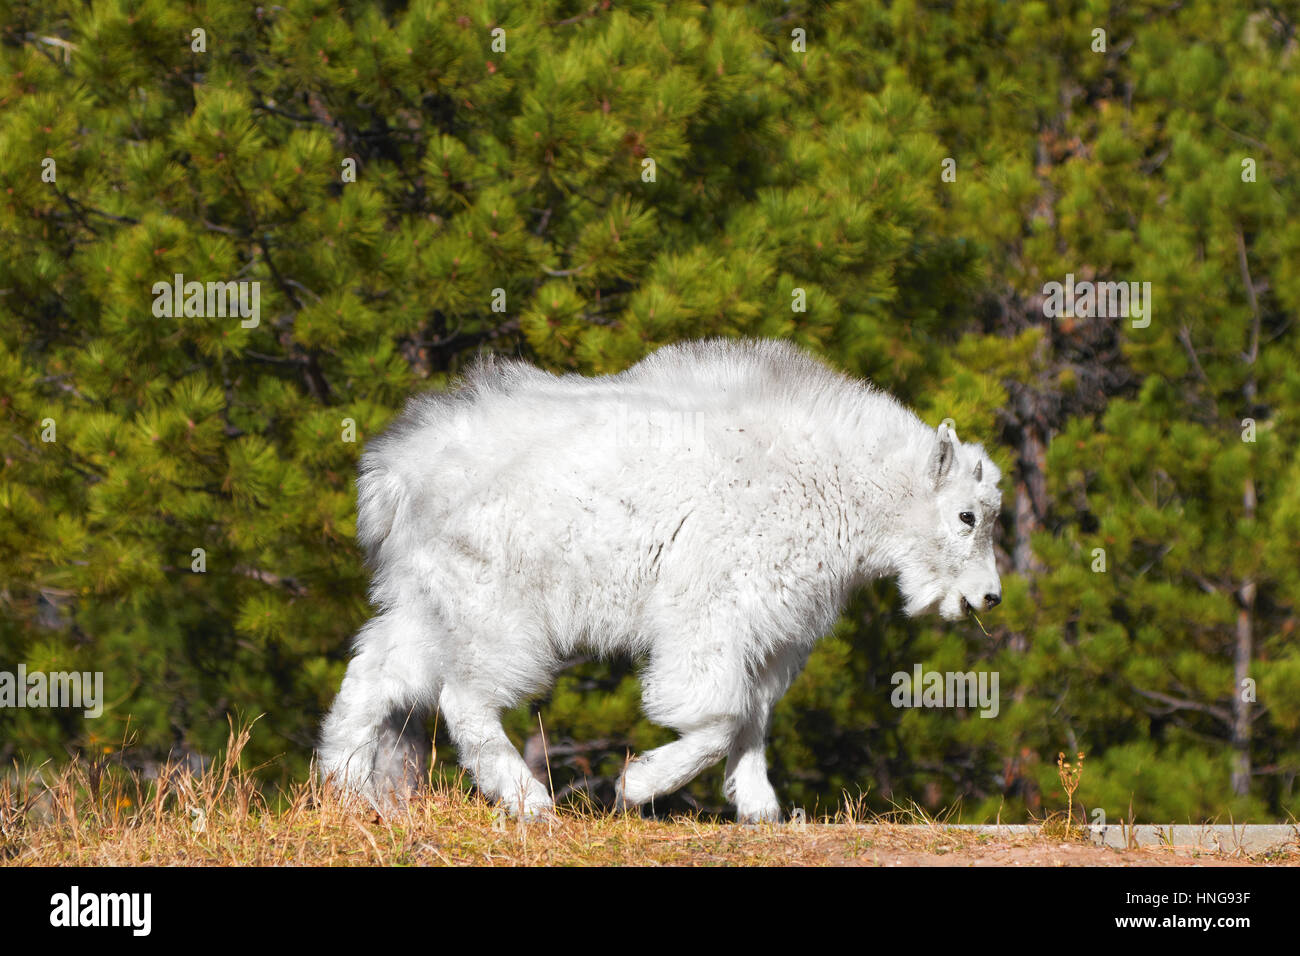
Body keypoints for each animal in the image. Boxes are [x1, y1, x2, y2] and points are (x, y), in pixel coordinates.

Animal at [317, 338, 1003, 822]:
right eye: (967, 515)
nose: (988, 596)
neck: (837, 486)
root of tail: (398, 473)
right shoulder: (715, 614)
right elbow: (720, 716)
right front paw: (636, 784)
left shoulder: (774, 633)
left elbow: (754, 717)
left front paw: (760, 807)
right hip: (498, 607)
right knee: (463, 698)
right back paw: (529, 801)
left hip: (430, 601)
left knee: (375, 675)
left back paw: (351, 792)